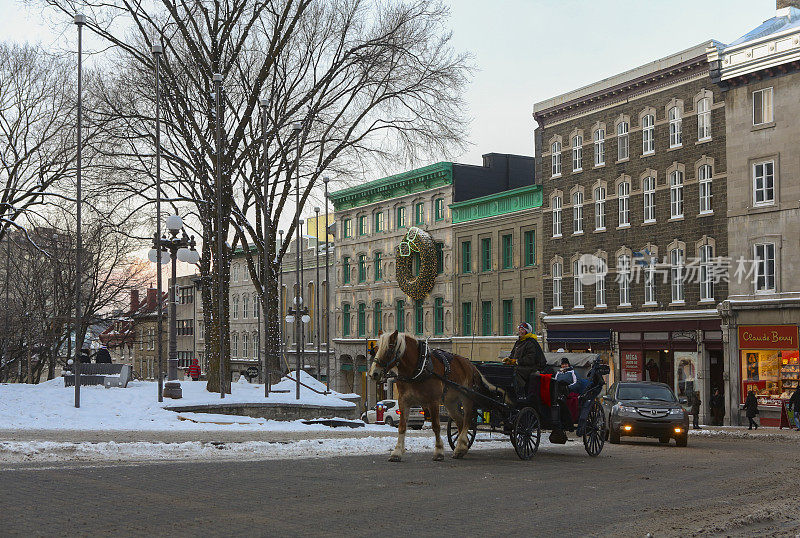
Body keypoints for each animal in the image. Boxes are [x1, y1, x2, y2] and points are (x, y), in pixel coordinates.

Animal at [368, 328, 506, 458]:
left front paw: (439, 451)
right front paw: (397, 452)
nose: (373, 373)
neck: (418, 368)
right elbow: (402, 426)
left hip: (466, 397)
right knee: (460, 421)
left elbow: (436, 426)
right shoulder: (403, 401)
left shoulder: (433, 401)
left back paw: (461, 444)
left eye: (389, 350)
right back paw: (461, 448)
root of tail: (471, 365)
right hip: (450, 401)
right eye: (376, 349)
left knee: (467, 420)